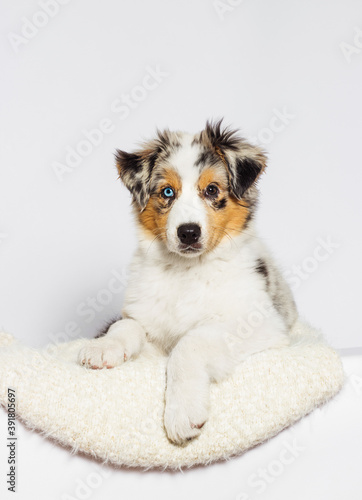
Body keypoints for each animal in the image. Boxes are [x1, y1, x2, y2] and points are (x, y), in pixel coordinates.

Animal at [78, 121, 296, 446]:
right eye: (167, 191)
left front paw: (182, 414)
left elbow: (190, 342)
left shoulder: (260, 325)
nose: (188, 232)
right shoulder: (147, 322)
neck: (186, 271)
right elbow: (126, 325)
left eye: (211, 190)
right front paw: (104, 347)